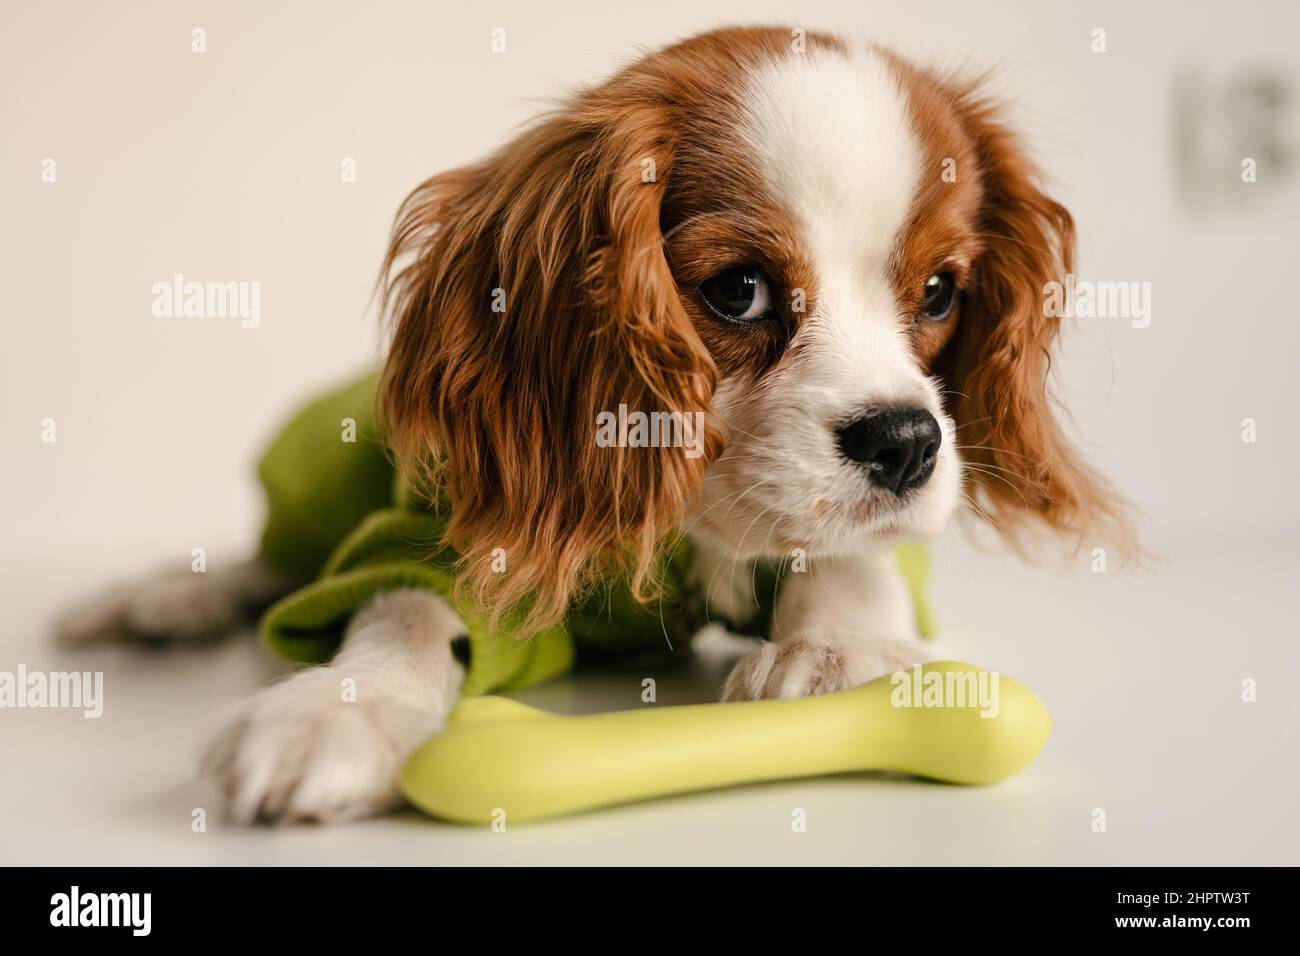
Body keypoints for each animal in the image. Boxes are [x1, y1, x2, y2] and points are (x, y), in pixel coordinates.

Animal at [58, 27, 1128, 822]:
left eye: (941, 292)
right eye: (738, 290)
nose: (906, 442)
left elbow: (856, 563)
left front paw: (839, 652)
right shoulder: (441, 522)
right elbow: (401, 607)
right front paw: (337, 709)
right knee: (272, 562)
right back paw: (160, 598)